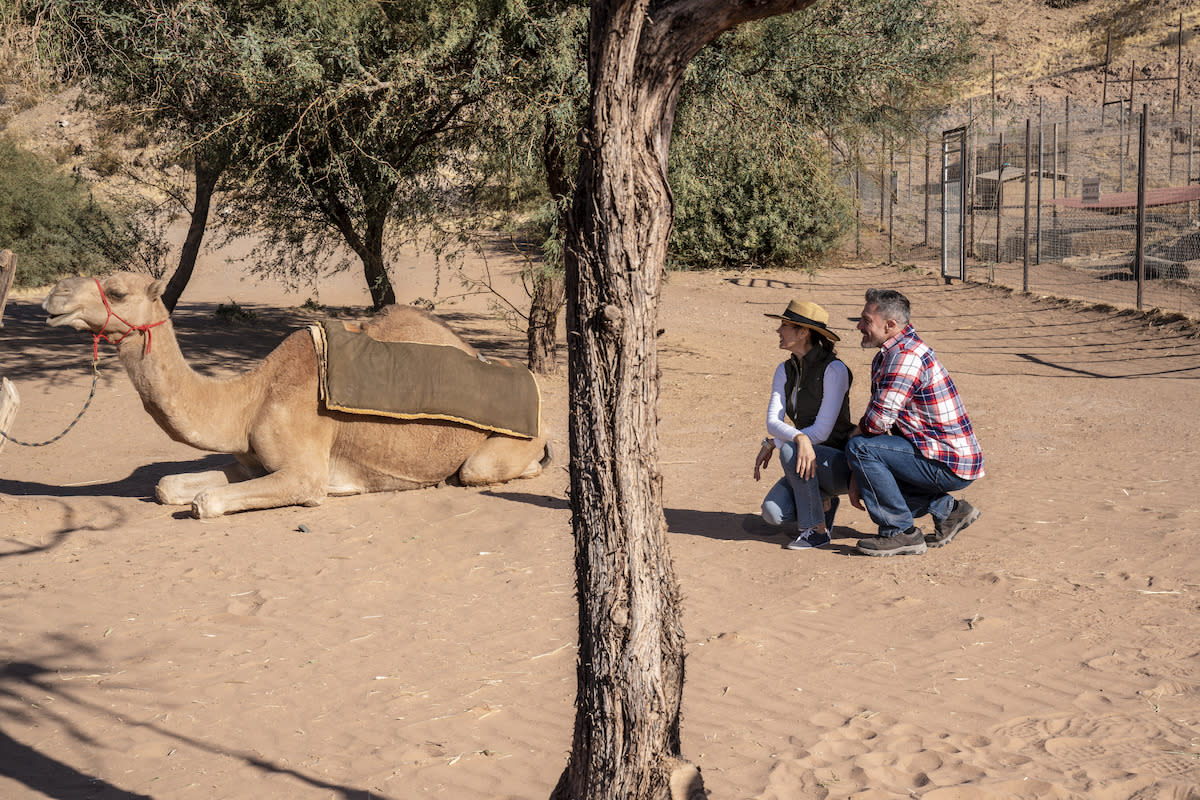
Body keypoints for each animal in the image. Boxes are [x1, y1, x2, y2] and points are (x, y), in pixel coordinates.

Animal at [42, 272, 549, 520]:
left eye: (116, 291)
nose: (53, 296)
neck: (248, 399)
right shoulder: (249, 461)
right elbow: (168, 486)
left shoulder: (305, 472)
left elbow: (205, 503)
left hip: (500, 452)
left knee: (484, 470)